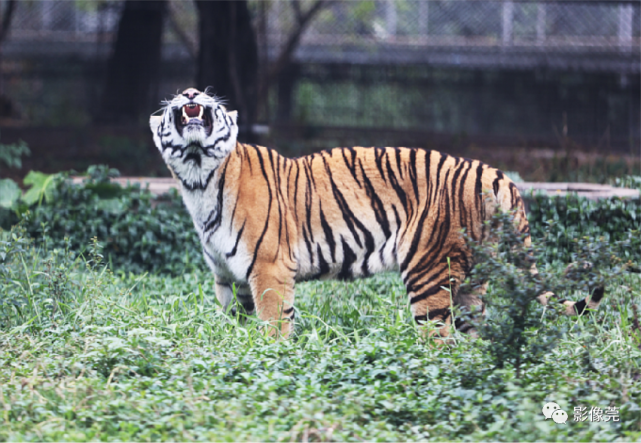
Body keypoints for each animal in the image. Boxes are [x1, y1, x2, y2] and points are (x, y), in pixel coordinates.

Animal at [150, 88, 604, 342]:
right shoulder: (229, 281)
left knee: (439, 340)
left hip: (429, 270)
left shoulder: (269, 269)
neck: (198, 179)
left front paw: (271, 358)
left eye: (206, 97)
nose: (189, 94)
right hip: (473, 281)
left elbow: (273, 326)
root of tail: (497, 174)